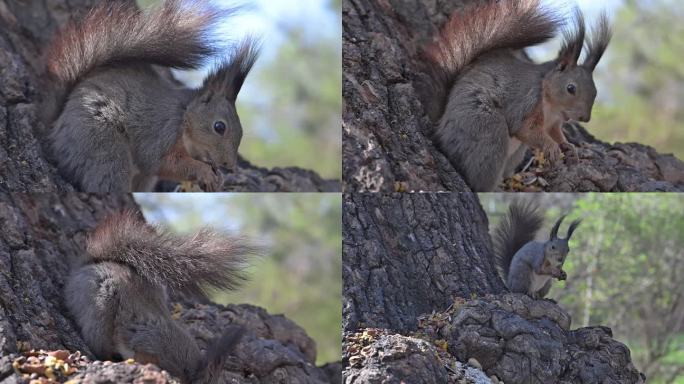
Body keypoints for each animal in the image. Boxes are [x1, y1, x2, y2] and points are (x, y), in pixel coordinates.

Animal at [42, 0, 260, 192]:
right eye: (219, 127)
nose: (229, 165)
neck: (185, 116)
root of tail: (55, 126)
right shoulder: (162, 130)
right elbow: (159, 162)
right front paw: (204, 171)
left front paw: (219, 177)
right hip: (101, 144)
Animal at [424, 0, 612, 192]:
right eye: (571, 88)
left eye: (595, 91)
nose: (585, 118)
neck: (552, 105)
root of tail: (441, 125)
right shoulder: (527, 101)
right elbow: (525, 129)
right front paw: (552, 147)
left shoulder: (553, 123)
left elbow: (555, 133)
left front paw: (568, 146)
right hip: (486, 128)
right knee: (479, 178)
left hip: (516, 151)